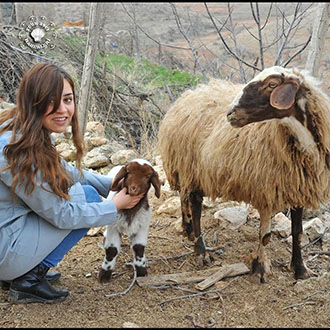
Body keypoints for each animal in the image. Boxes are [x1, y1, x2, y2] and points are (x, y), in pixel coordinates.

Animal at [158, 65, 330, 282]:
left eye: (272, 84)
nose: (230, 113)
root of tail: (189, 94)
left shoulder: (297, 187)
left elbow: (297, 232)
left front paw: (300, 269)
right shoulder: (266, 190)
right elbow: (265, 237)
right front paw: (260, 270)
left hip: (187, 170)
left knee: (184, 197)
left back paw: (187, 229)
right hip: (192, 168)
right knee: (195, 207)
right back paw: (201, 251)